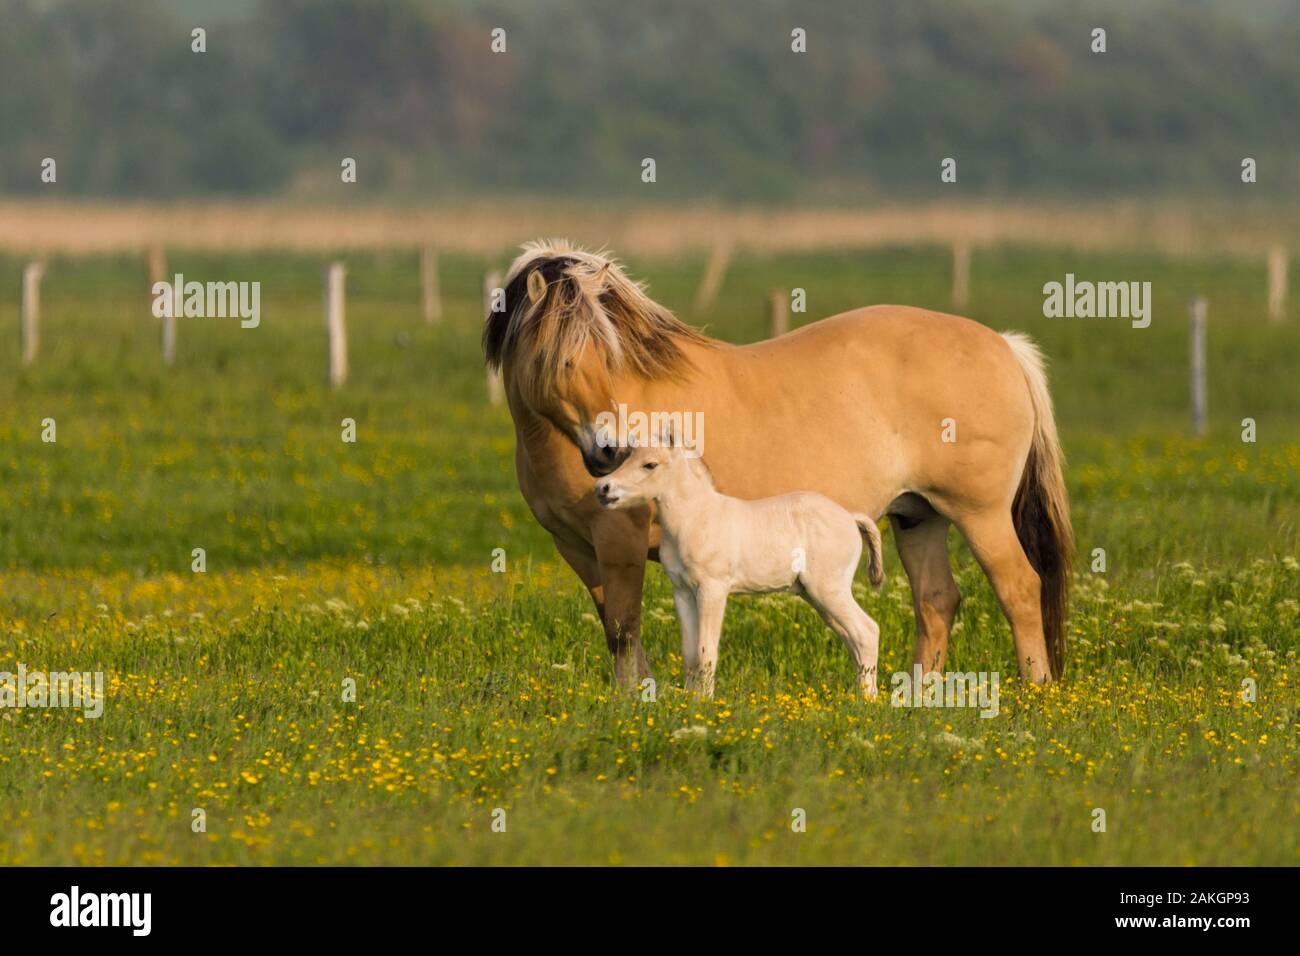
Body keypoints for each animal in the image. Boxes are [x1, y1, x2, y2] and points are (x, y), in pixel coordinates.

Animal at [595, 437, 883, 697]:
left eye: (650, 464)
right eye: (626, 458)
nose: (603, 488)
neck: (695, 518)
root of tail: (850, 517)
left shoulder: (712, 589)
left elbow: (706, 650)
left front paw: (705, 703)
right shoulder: (682, 592)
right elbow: (689, 653)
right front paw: (689, 703)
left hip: (828, 590)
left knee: (867, 632)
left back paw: (866, 702)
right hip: (816, 596)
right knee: (852, 638)